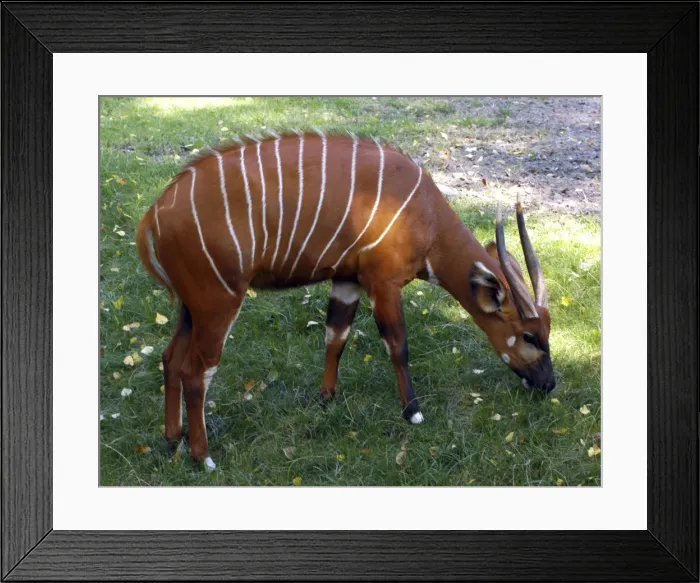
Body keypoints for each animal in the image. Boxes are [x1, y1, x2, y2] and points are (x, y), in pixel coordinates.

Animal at [136, 130, 554, 470]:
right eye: (530, 336)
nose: (549, 384)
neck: (427, 217)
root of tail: (155, 213)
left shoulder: (347, 280)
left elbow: (335, 337)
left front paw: (326, 398)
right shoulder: (383, 282)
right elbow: (397, 345)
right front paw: (413, 412)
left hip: (191, 307)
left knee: (170, 358)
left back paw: (172, 439)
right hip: (218, 302)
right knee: (196, 372)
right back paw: (203, 458)